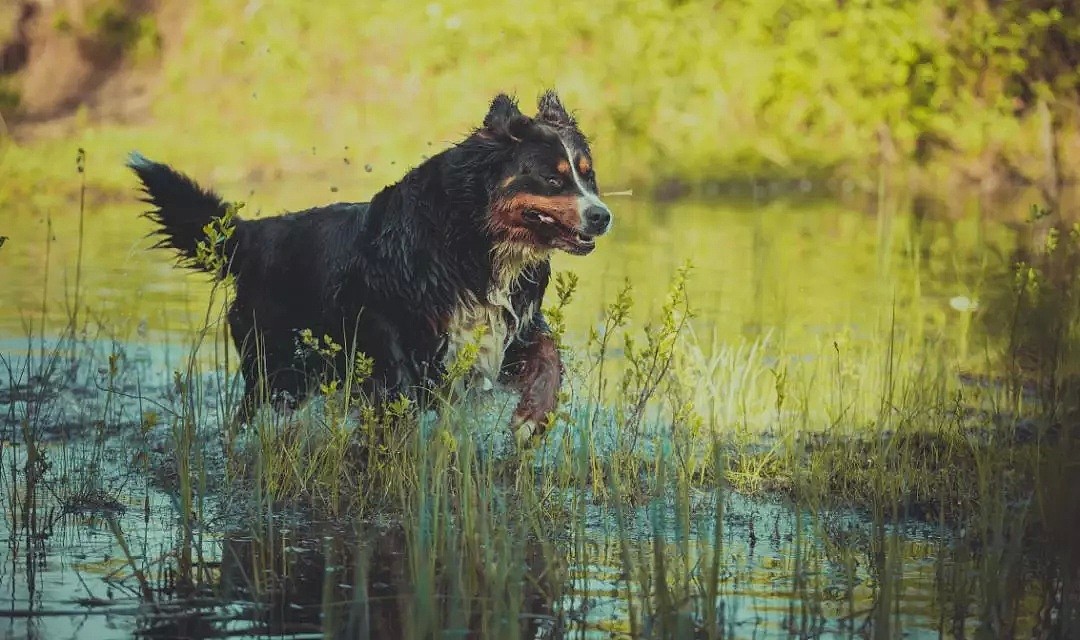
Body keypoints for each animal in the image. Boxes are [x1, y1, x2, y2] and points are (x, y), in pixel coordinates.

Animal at [128, 91, 609, 444]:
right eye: (552, 178)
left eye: (588, 175)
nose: (602, 216)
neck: (472, 245)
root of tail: (255, 233)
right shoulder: (391, 328)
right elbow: (398, 392)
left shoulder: (509, 325)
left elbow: (548, 358)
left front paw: (532, 416)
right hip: (277, 372)